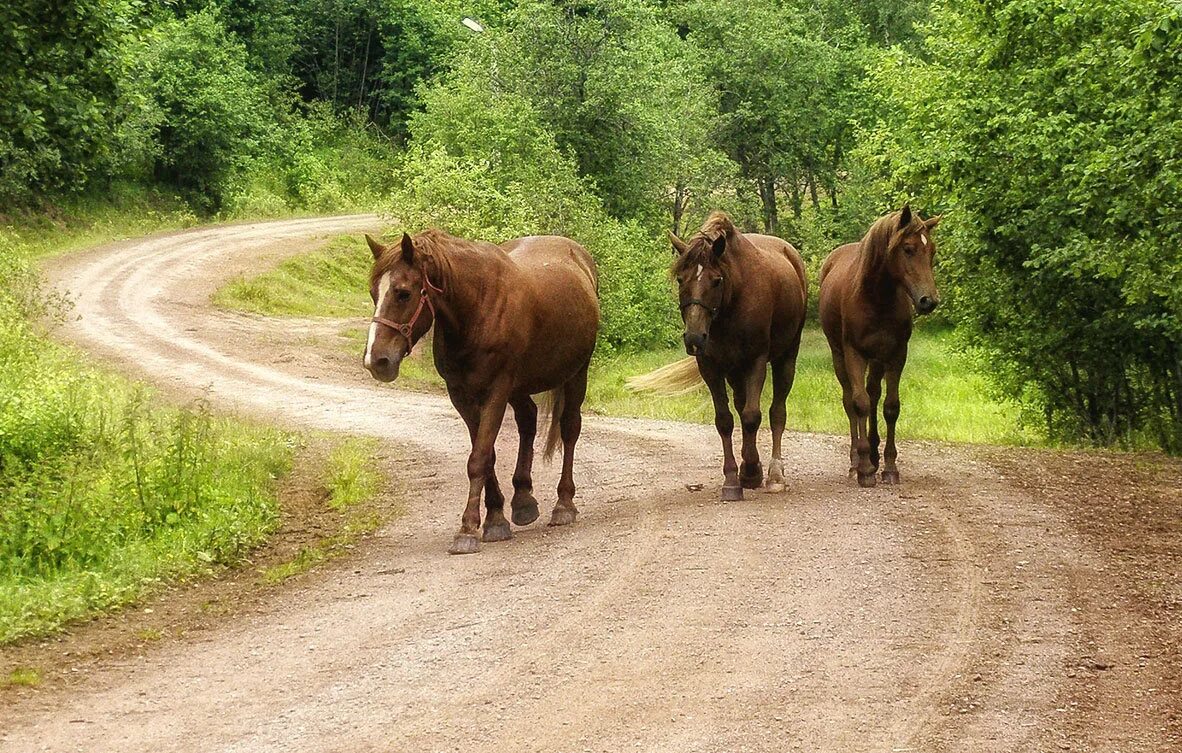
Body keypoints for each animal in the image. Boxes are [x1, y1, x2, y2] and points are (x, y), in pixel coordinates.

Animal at [359, 229, 600, 553]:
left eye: (403, 293)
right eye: (374, 293)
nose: (377, 361)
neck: (476, 311)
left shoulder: (496, 392)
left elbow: (479, 459)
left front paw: (469, 529)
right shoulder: (462, 396)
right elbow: (487, 457)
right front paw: (496, 517)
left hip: (576, 373)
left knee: (570, 429)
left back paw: (564, 504)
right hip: (520, 386)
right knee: (528, 419)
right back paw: (523, 499)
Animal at [628, 212, 813, 498]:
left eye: (716, 280)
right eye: (681, 279)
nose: (694, 338)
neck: (732, 305)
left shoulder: (756, 362)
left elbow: (752, 416)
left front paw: (751, 471)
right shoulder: (711, 367)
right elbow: (725, 420)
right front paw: (734, 479)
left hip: (786, 357)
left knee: (777, 412)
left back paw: (774, 474)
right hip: (735, 371)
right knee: (741, 405)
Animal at [822, 205, 940, 487]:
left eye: (932, 251)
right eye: (908, 249)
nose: (929, 301)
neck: (876, 299)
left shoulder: (896, 355)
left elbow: (890, 407)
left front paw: (889, 466)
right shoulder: (854, 354)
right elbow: (860, 404)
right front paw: (864, 468)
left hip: (877, 360)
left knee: (874, 393)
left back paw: (874, 454)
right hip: (839, 356)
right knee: (851, 402)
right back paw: (856, 461)